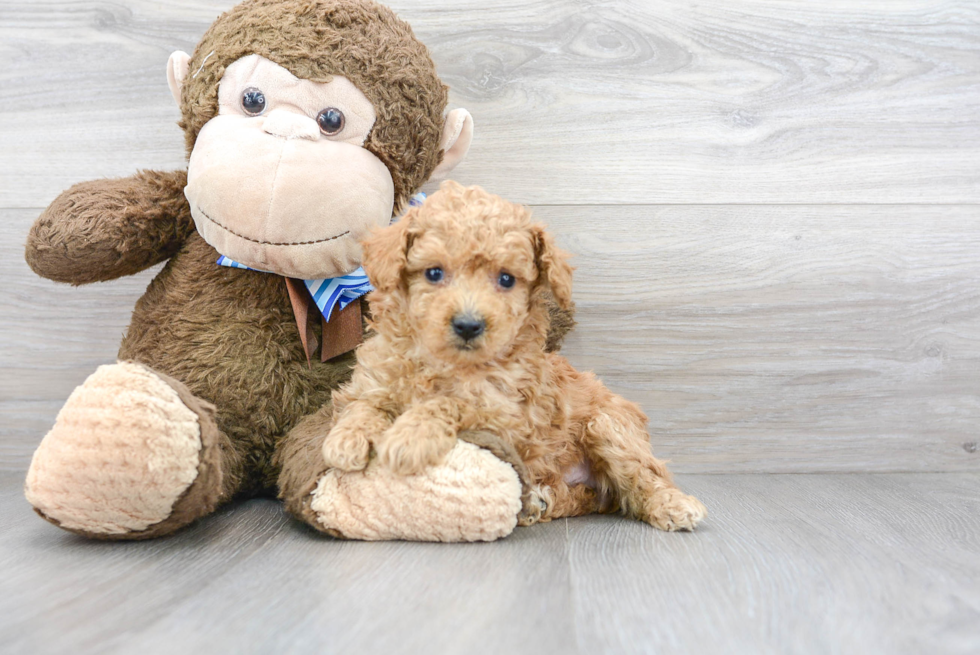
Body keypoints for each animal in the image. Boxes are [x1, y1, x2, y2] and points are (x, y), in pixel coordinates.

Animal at [326, 181, 708, 532]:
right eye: (434, 273)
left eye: (507, 279)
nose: (468, 325)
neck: (446, 362)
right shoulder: (373, 381)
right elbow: (363, 404)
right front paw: (345, 439)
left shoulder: (509, 418)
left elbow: (452, 402)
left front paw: (410, 437)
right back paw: (541, 501)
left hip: (609, 426)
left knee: (643, 477)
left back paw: (672, 504)